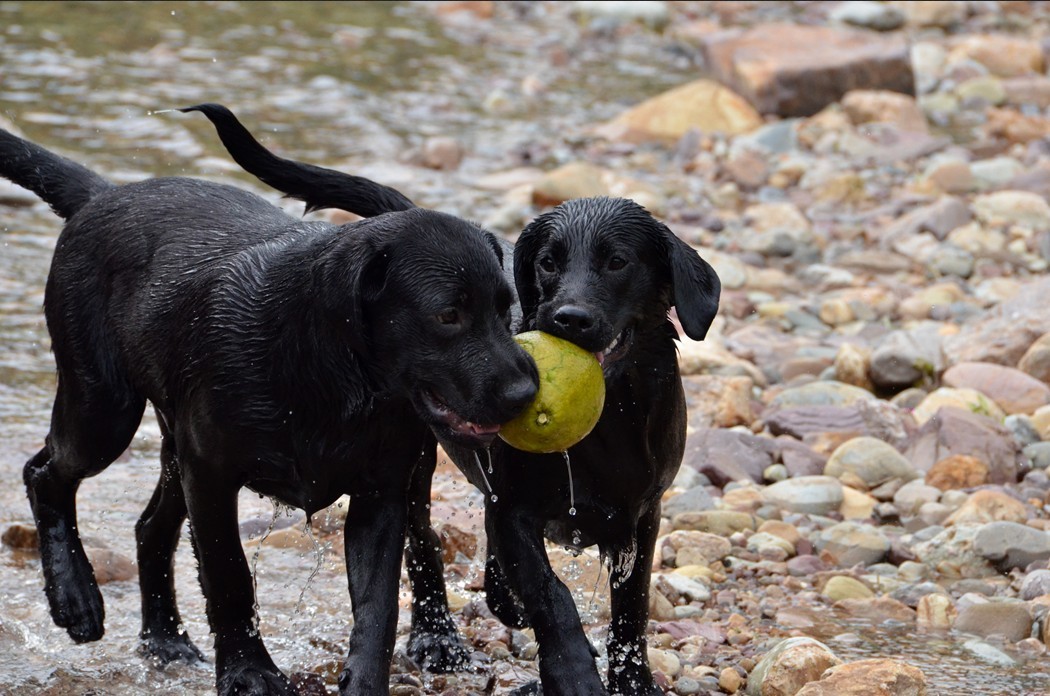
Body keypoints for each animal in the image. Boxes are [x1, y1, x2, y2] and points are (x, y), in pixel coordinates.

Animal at [0, 122, 537, 692]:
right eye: (448, 315)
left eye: (505, 308)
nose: (526, 392)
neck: (330, 377)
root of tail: (102, 195)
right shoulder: (210, 477)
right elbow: (229, 578)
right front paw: (249, 671)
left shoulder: (379, 495)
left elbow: (377, 608)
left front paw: (364, 681)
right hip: (104, 411)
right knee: (44, 473)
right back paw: (75, 598)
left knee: (152, 528)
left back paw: (167, 640)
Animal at [191, 100, 722, 692]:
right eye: (548, 262)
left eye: (617, 262)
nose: (567, 319)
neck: (609, 424)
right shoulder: (515, 511)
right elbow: (552, 596)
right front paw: (573, 671)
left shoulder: (642, 516)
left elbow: (631, 610)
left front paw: (633, 681)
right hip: (416, 465)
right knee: (427, 543)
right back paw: (440, 634)